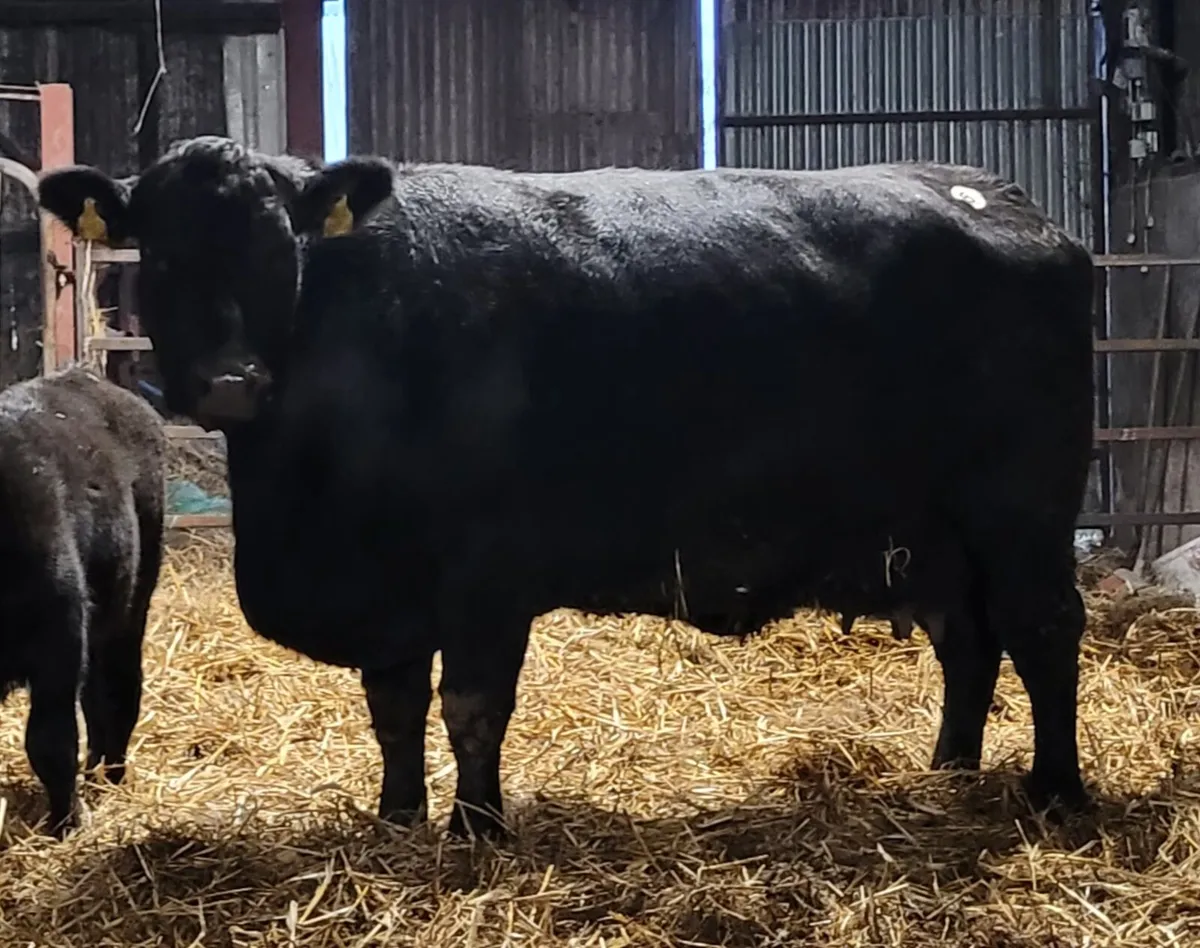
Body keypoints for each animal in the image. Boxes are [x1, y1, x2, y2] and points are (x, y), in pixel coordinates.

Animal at [0, 366, 165, 837]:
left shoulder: (60, 636)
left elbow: (50, 740)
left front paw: (66, 821)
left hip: (131, 604)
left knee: (120, 689)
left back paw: (111, 773)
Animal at [38, 137, 1095, 839]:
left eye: (277, 249)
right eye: (164, 252)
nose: (231, 380)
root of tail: (1000, 198)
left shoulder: (485, 573)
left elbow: (470, 705)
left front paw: (477, 830)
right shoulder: (389, 591)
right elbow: (393, 710)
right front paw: (396, 821)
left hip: (1021, 511)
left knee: (1042, 630)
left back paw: (1056, 792)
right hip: (936, 534)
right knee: (969, 643)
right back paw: (948, 774)